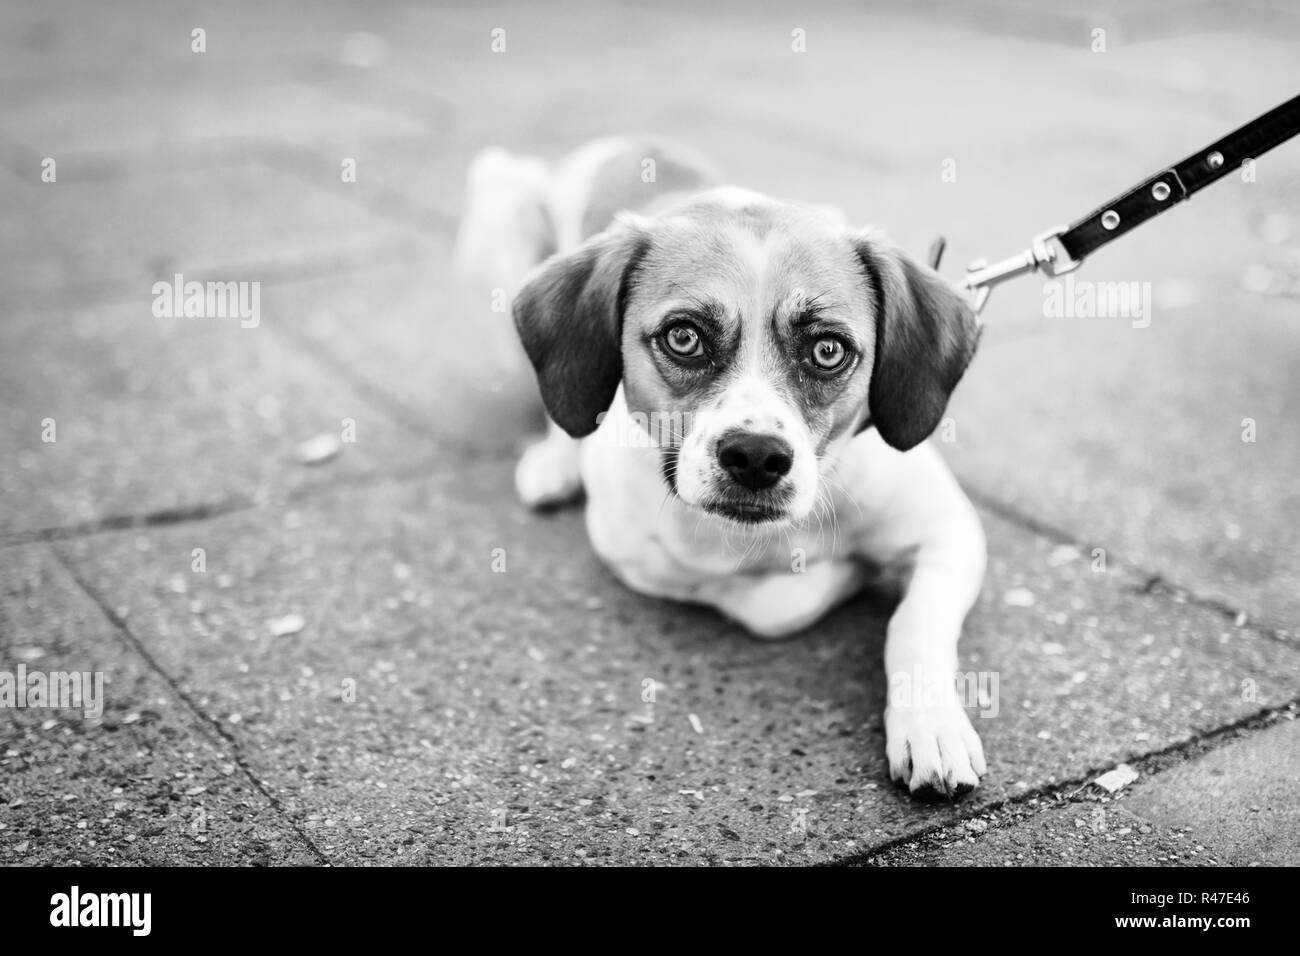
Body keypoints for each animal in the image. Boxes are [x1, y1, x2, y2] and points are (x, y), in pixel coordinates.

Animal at [454, 136, 982, 801]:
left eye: (828, 349)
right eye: (684, 338)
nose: (756, 456)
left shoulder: (952, 532)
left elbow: (915, 623)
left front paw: (931, 727)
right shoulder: (638, 553)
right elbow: (768, 603)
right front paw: (849, 576)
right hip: (504, 203)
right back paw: (554, 461)